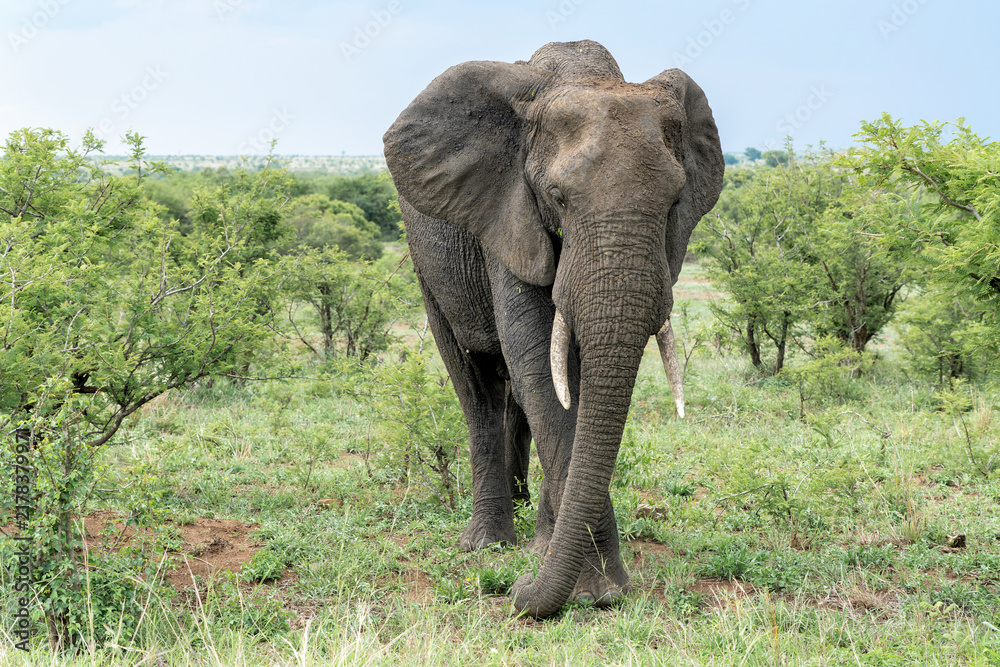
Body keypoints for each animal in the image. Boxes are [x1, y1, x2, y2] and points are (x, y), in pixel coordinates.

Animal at [382, 40, 723, 618]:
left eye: (676, 201)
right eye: (559, 197)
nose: (516, 595)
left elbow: (572, 379)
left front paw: (584, 581)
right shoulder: (506, 211)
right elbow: (540, 363)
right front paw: (593, 591)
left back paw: (535, 536)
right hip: (425, 256)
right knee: (474, 384)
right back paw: (487, 544)